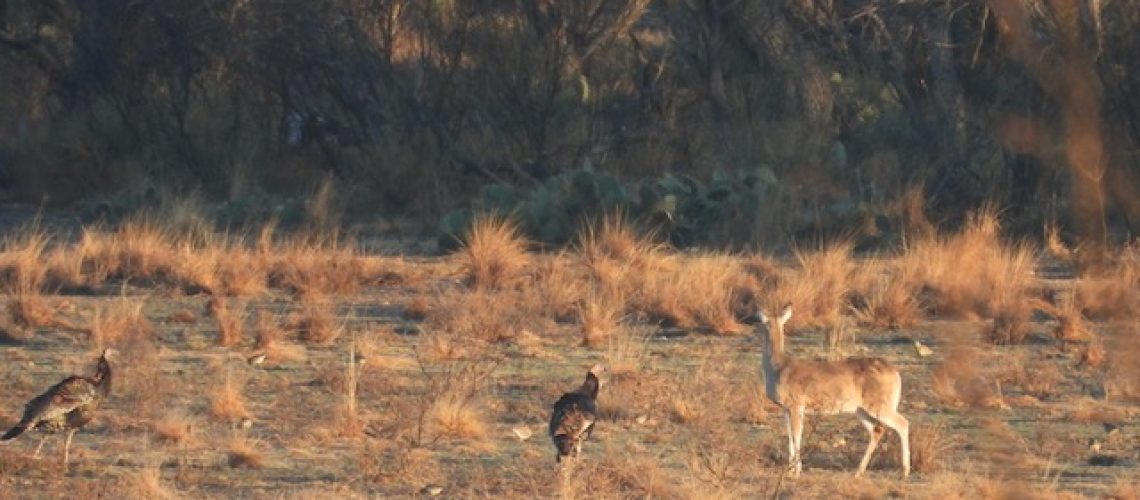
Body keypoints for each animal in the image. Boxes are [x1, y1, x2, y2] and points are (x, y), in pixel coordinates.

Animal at [755, 304, 910, 478]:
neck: (778, 367)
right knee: (877, 430)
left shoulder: (796, 405)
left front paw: (796, 472)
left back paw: (905, 471)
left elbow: (796, 436)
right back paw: (858, 472)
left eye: (761, 321)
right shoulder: (786, 409)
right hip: (861, 410)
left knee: (903, 423)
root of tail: (894, 371)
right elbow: (790, 437)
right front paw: (790, 471)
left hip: (879, 406)